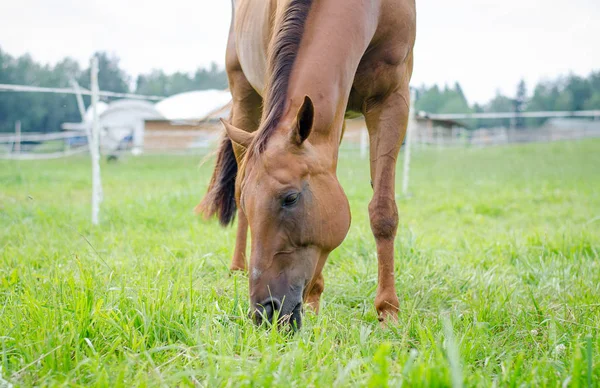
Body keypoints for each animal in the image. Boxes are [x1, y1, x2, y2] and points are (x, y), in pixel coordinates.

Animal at [199, 0, 414, 330]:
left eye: (291, 198)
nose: (265, 312)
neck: (374, 10)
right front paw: (315, 302)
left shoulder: (392, 98)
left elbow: (383, 212)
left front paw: (387, 310)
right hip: (245, 100)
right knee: (235, 186)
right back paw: (238, 268)